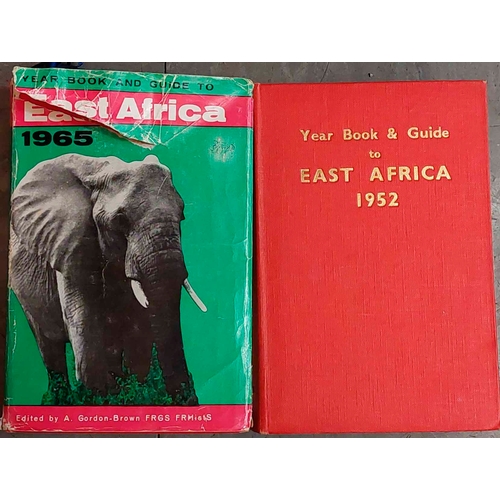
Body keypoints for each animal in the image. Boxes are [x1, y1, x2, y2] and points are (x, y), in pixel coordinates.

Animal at [9, 153, 206, 405]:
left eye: (181, 215)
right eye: (120, 219)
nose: (190, 398)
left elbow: (138, 341)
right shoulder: (71, 247)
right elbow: (85, 335)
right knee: (49, 348)